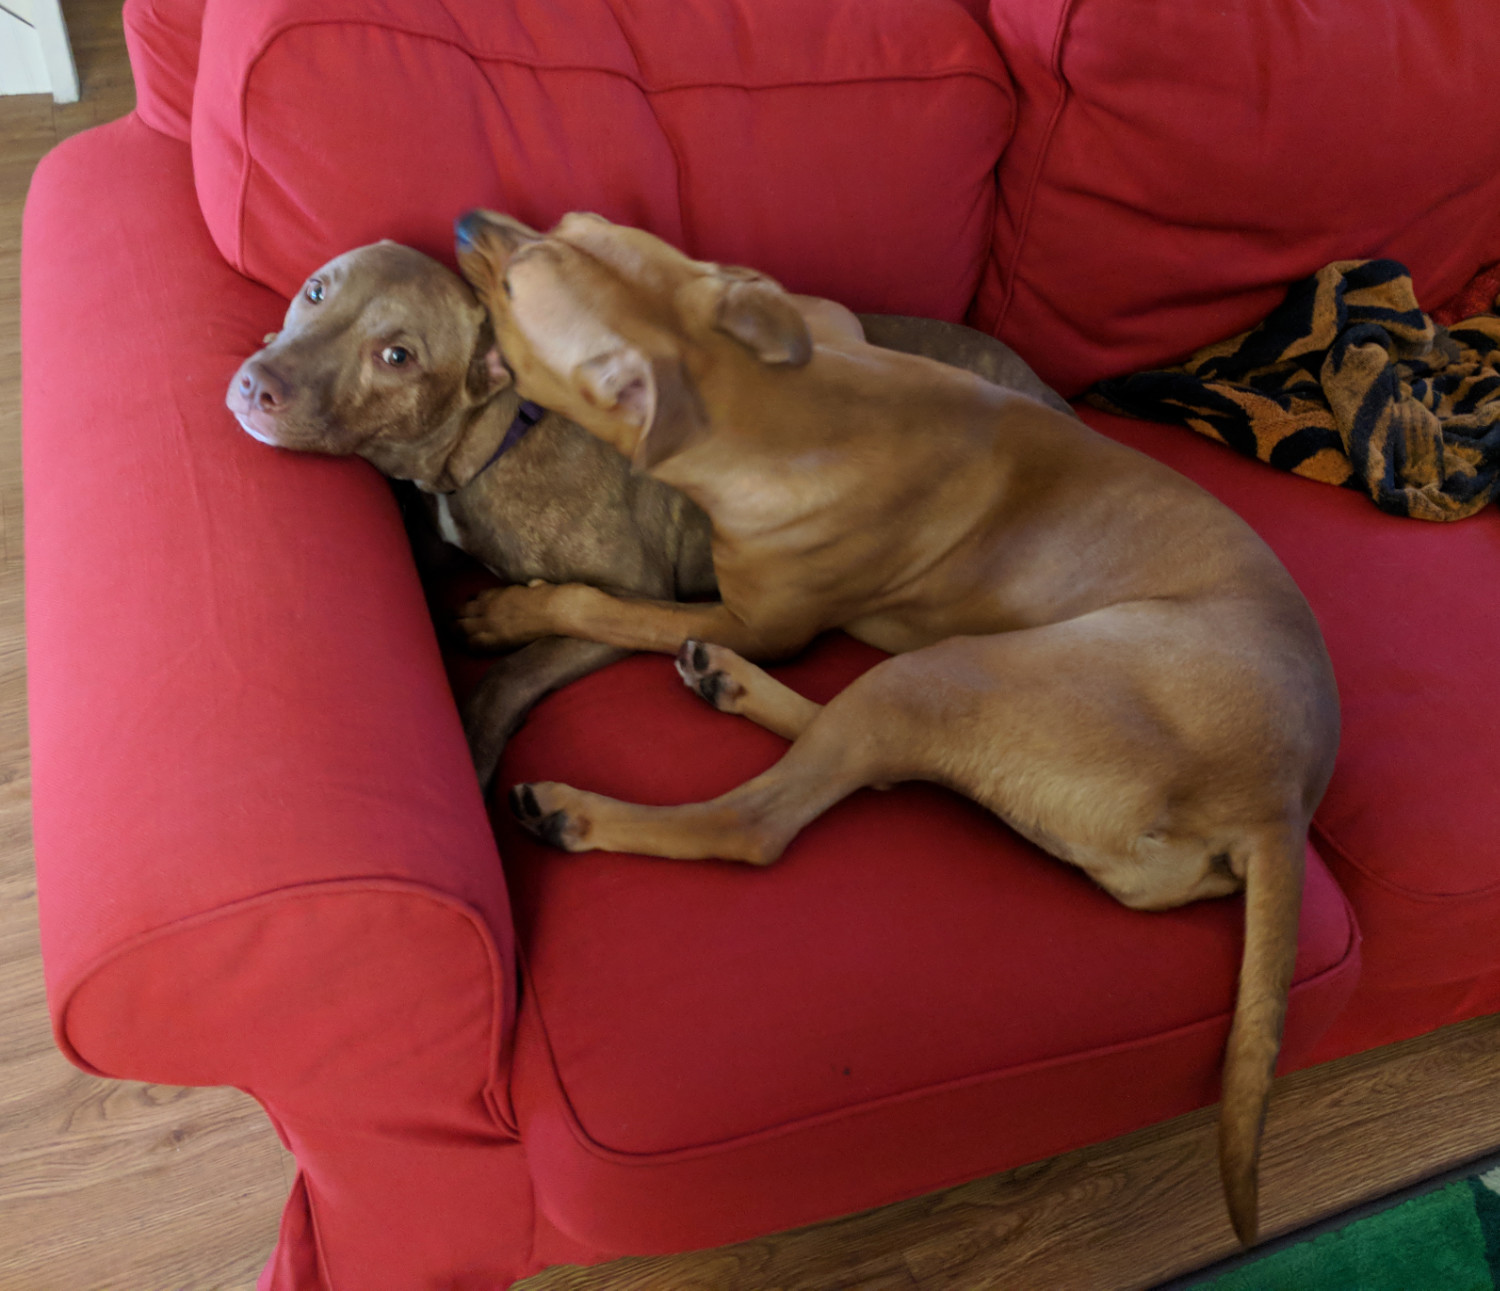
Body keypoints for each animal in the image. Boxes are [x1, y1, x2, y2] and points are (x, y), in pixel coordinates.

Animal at [450, 208, 1344, 1241]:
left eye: (518, 287)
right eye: (569, 224)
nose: (468, 222)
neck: (771, 401)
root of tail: (1278, 801)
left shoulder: (752, 616)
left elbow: (601, 605)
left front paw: (511, 611)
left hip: (957, 674)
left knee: (755, 819)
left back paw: (579, 807)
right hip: (946, 691)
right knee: (858, 755)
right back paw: (728, 686)